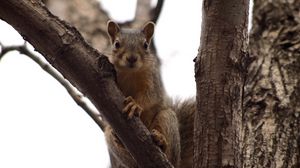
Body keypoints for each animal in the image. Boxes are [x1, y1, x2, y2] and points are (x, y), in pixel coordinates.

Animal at [104, 20, 196, 167]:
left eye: (145, 45)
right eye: (116, 44)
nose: (132, 58)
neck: (130, 73)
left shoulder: (152, 80)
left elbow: (150, 97)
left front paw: (135, 104)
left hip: (167, 117)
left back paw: (161, 142)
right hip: (110, 137)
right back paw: (120, 140)